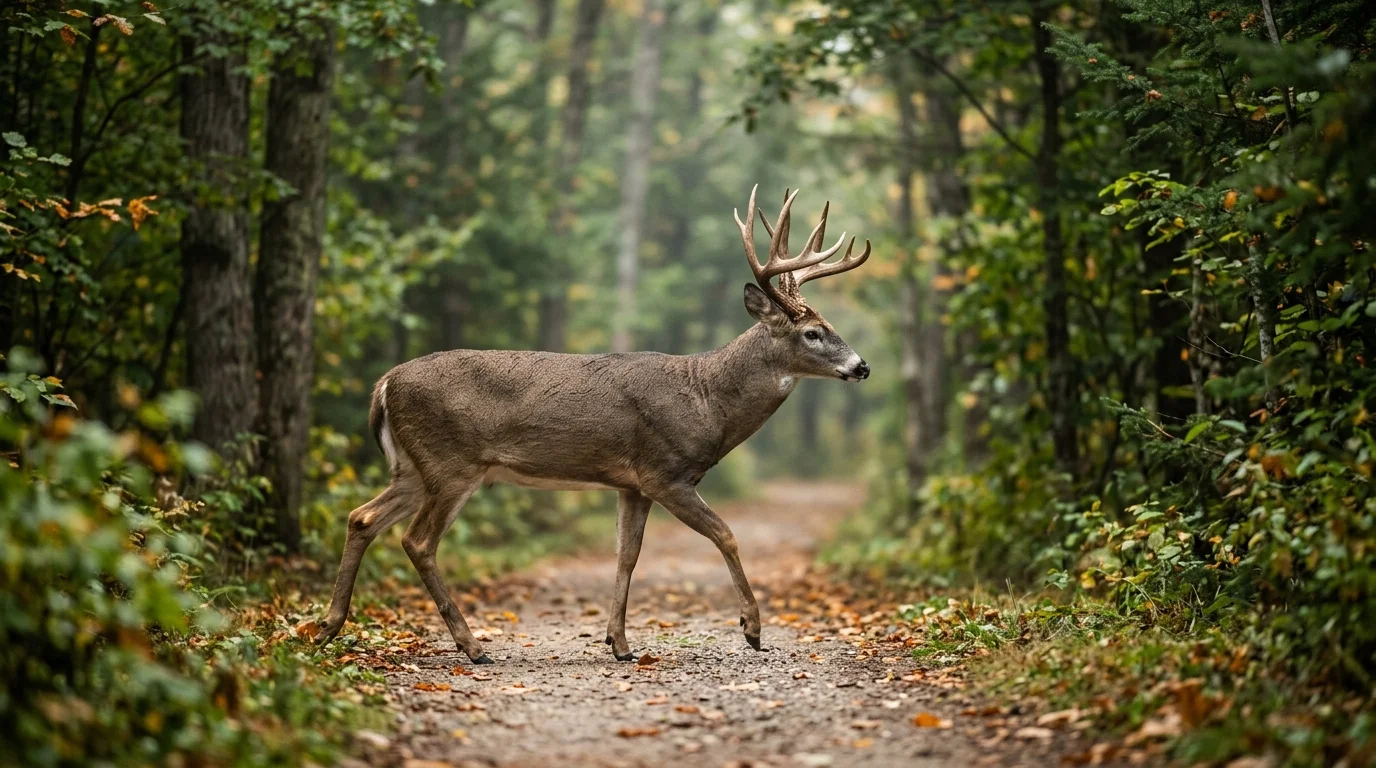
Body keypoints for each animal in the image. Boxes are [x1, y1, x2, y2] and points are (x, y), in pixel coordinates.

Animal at [315, 186, 871, 663]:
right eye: (813, 332)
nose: (862, 366)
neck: (705, 398)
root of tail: (384, 385)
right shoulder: (665, 472)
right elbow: (726, 534)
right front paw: (752, 630)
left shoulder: (632, 484)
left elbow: (627, 555)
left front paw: (618, 642)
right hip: (451, 462)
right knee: (417, 541)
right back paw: (471, 646)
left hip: (413, 467)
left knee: (362, 517)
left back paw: (328, 626)